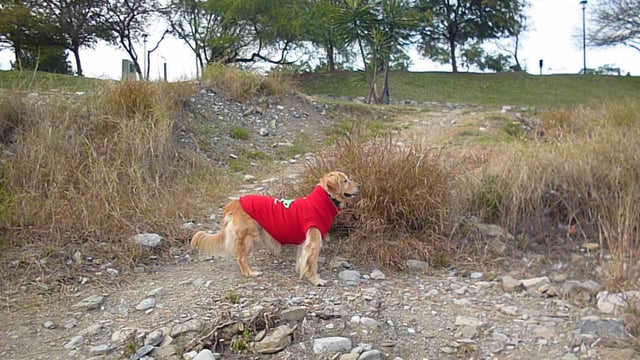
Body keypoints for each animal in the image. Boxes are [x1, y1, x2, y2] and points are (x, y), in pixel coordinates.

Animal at [190, 170, 360, 286]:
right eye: (345, 180)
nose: (359, 186)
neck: (324, 199)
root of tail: (233, 203)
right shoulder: (314, 243)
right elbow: (313, 264)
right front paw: (316, 280)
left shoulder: (304, 243)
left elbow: (302, 260)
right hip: (248, 237)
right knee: (241, 258)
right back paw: (250, 272)